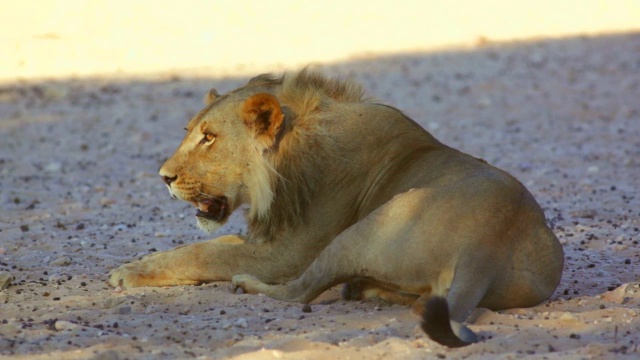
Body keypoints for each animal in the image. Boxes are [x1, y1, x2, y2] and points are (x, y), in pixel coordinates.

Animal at [110, 69, 564, 348]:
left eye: (209, 137)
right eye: (189, 131)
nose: (163, 176)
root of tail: (487, 247)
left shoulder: (287, 254)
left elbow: (204, 253)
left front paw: (127, 273)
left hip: (366, 228)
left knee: (298, 292)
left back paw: (250, 285)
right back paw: (368, 290)